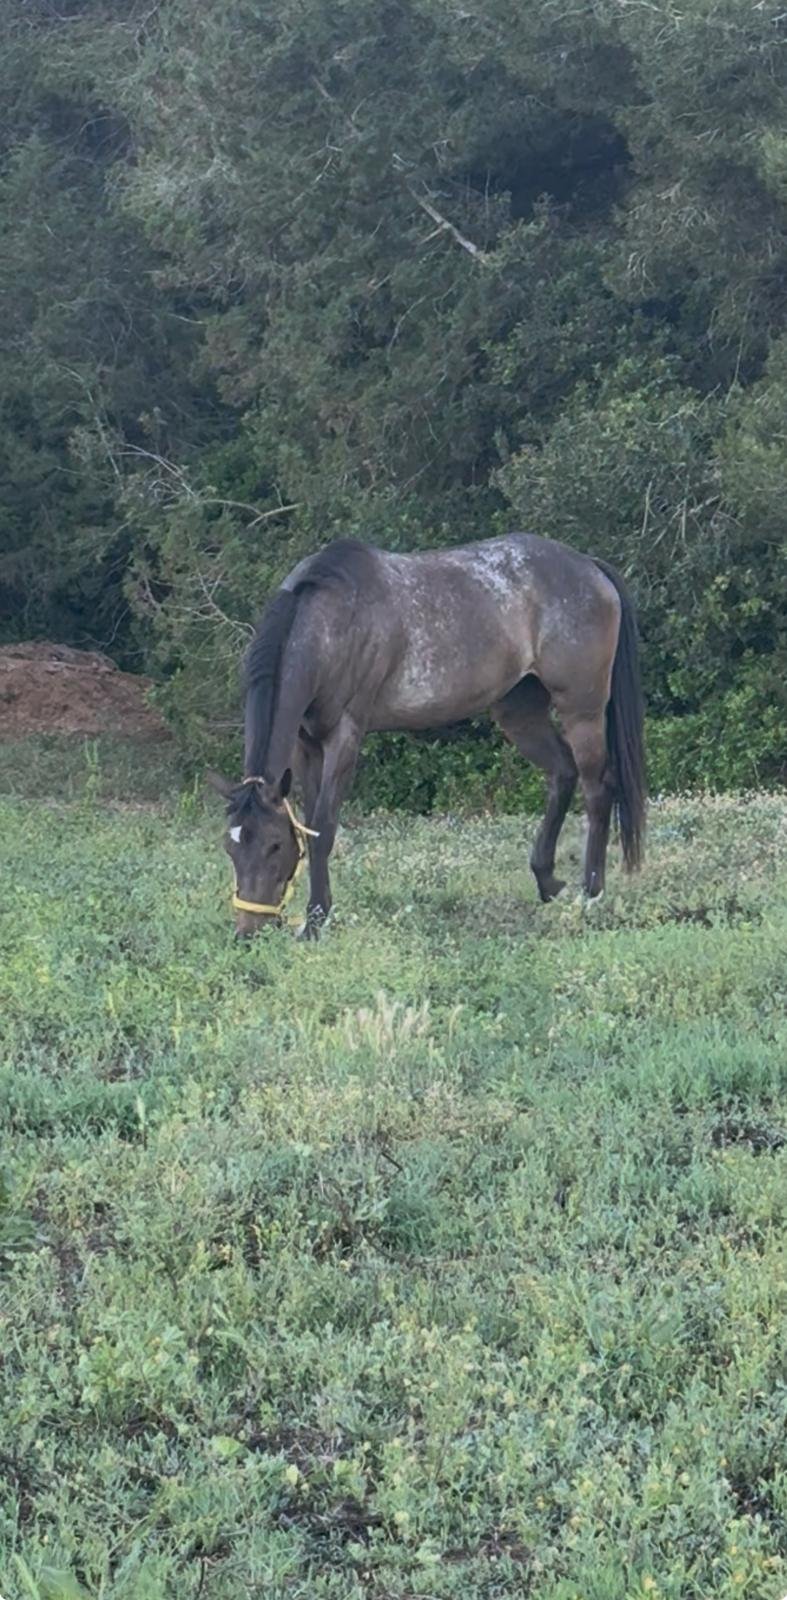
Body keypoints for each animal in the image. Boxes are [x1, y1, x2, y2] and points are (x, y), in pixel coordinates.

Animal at [209, 532, 645, 939]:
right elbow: (313, 823)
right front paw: (317, 915)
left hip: (582, 710)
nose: (248, 932)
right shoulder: (306, 743)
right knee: (562, 774)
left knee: (597, 790)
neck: (330, 622)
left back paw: (591, 894)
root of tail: (589, 567)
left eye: (274, 845)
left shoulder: (345, 735)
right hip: (519, 712)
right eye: (231, 847)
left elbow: (323, 830)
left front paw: (315, 922)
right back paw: (547, 879)